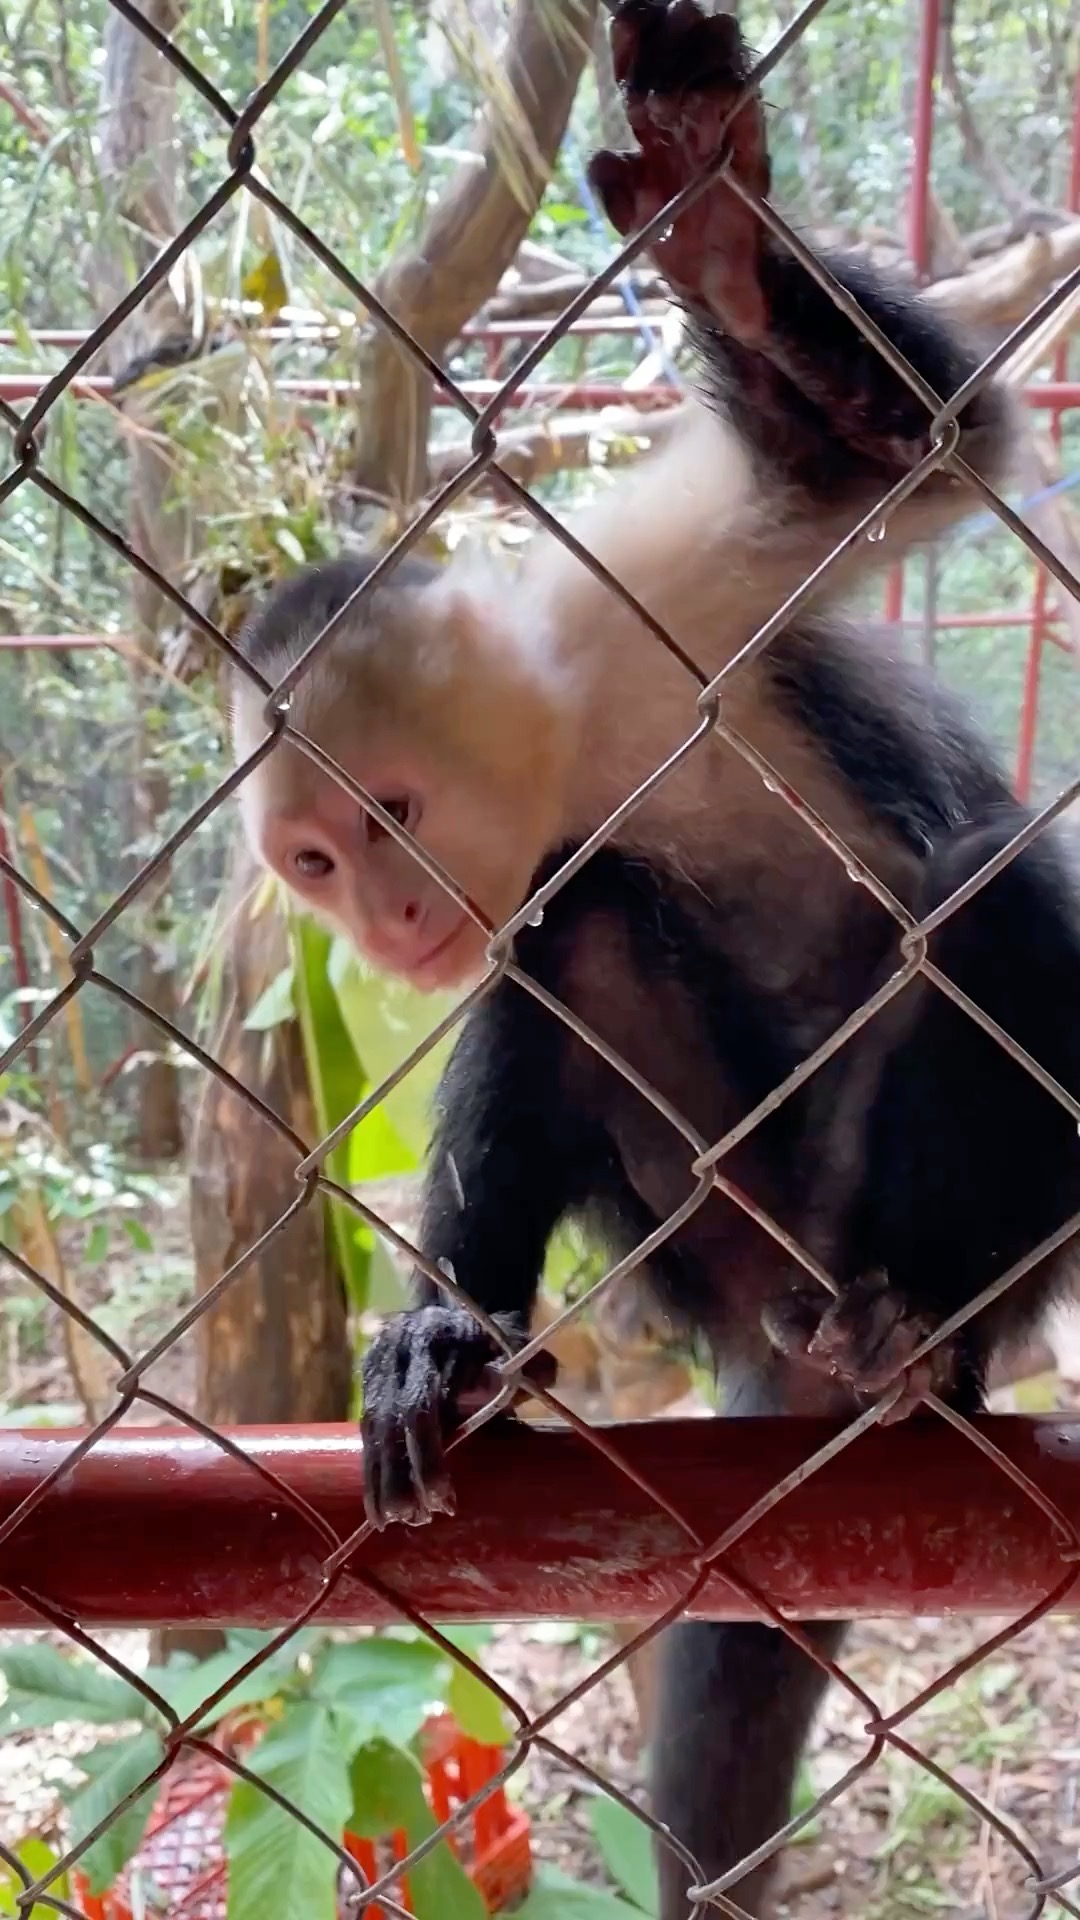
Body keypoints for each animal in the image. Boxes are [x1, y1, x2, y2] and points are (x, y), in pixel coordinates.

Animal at [230, 5, 1080, 1912]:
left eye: (387, 817)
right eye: (315, 863)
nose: (385, 919)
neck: (581, 739)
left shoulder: (648, 599)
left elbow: (915, 452)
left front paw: (722, 239)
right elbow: (545, 947)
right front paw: (437, 1333)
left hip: (904, 1215)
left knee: (984, 895)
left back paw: (924, 1326)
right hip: (727, 1247)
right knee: (580, 930)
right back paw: (476, 1352)